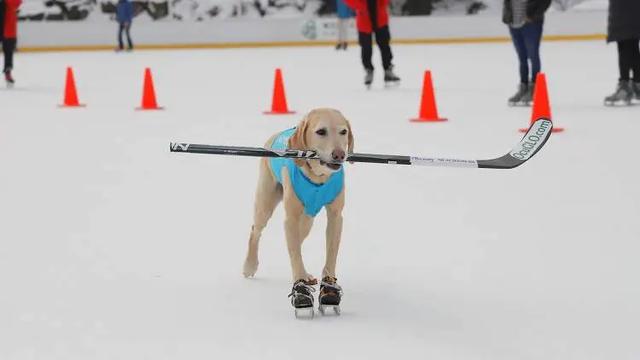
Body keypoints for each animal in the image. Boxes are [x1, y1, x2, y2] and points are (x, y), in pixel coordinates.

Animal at [241, 108, 352, 310]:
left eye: (343, 132)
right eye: (321, 131)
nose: (339, 154)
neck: (318, 177)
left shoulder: (335, 217)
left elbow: (330, 254)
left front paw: (329, 288)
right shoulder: (290, 218)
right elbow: (294, 254)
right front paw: (300, 290)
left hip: (307, 219)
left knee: (298, 242)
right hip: (265, 204)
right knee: (256, 231)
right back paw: (250, 265)